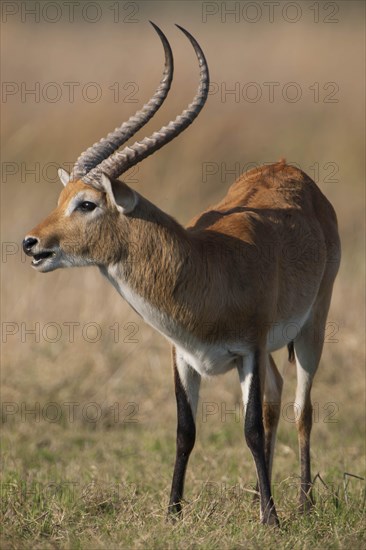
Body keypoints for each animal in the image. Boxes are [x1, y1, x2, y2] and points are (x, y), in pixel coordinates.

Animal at [23, 23, 340, 528]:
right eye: (62, 198)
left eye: (87, 203)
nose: (31, 243)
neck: (203, 266)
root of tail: (289, 167)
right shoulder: (183, 356)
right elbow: (185, 431)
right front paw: (172, 514)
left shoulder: (248, 350)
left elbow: (249, 429)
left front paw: (273, 521)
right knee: (275, 398)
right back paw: (260, 497)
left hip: (313, 326)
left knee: (300, 407)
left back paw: (302, 503)